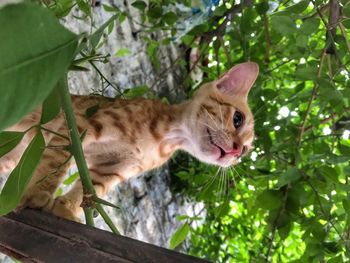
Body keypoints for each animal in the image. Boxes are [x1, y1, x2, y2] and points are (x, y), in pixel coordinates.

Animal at [0, 62, 258, 223]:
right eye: (237, 119)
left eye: (245, 151)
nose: (236, 152)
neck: (162, 139)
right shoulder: (79, 128)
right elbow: (55, 163)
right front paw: (34, 193)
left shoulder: (114, 169)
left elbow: (90, 191)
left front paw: (64, 209)